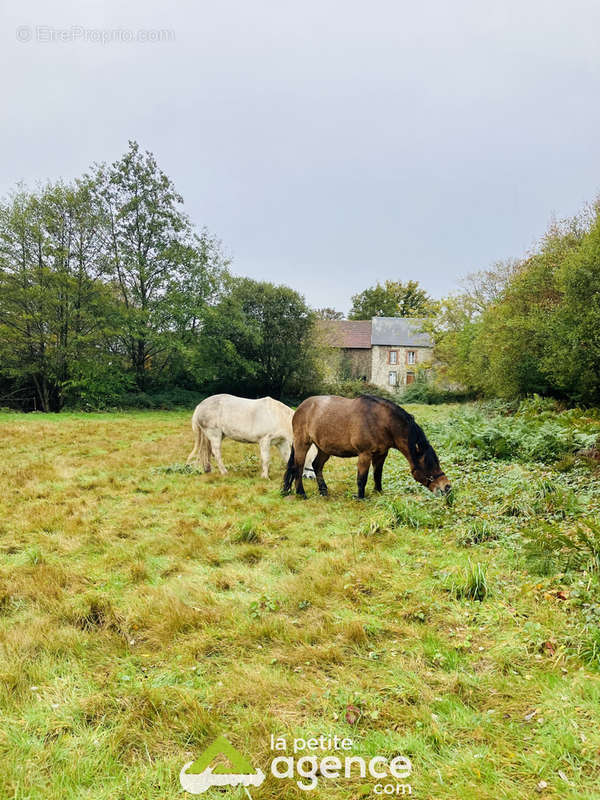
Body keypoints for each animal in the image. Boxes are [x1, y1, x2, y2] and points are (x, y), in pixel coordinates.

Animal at [189, 392, 318, 478]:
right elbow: (266, 459)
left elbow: (286, 456)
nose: (311, 477)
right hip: (214, 434)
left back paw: (208, 470)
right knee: (216, 453)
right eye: (310, 457)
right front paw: (265, 476)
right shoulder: (265, 440)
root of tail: (200, 406)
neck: (277, 416)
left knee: (207, 452)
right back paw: (224, 472)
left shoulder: (280, 443)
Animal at [282, 396, 450, 500]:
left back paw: (323, 491)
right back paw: (301, 493)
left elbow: (377, 474)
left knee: (317, 465)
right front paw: (360, 497)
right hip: (302, 443)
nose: (447, 487)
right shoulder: (364, 454)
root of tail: (300, 408)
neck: (381, 422)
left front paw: (378, 492)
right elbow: (361, 478)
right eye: (429, 464)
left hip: (324, 448)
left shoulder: (381, 454)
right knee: (298, 467)